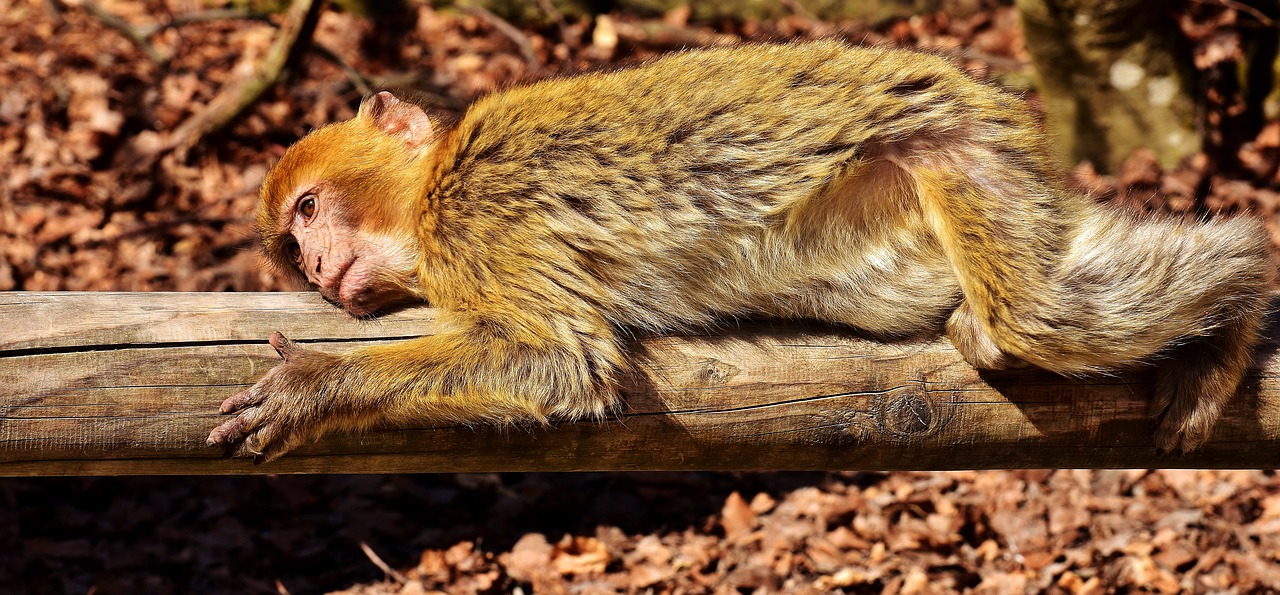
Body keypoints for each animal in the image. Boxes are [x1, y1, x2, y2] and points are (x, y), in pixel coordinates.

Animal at [204, 39, 1274, 460]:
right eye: (292, 242)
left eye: (308, 210)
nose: (314, 271)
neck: (426, 194)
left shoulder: (477, 217)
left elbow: (562, 361)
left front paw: (316, 389)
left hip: (962, 152)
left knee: (1040, 315)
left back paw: (1248, 277)